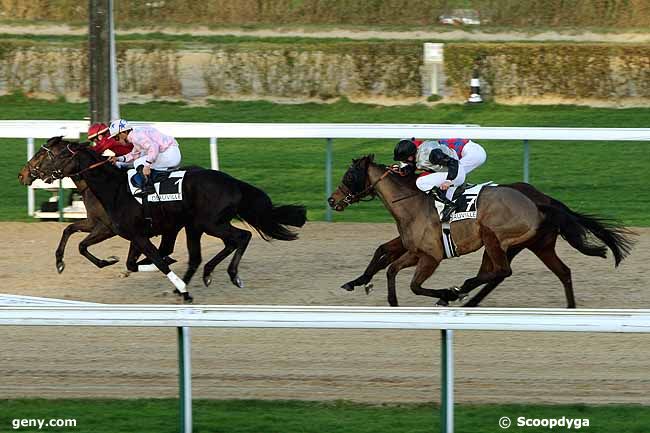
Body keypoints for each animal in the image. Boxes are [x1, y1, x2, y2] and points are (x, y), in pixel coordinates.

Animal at [20, 137, 304, 302]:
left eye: (48, 155)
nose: (23, 174)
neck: (114, 188)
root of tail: (234, 183)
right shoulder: (119, 230)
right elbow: (77, 236)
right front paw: (65, 262)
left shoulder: (131, 233)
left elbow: (156, 259)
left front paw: (180, 286)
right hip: (196, 226)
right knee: (203, 254)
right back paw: (205, 274)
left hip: (209, 223)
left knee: (241, 237)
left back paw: (230, 276)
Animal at [326, 155, 632, 308]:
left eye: (349, 176)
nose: (332, 200)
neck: (412, 202)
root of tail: (540, 201)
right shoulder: (410, 246)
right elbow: (383, 254)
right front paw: (357, 281)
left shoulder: (429, 256)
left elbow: (406, 279)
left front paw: (436, 294)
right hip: (537, 245)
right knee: (558, 272)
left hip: (494, 237)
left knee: (501, 271)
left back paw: (460, 292)